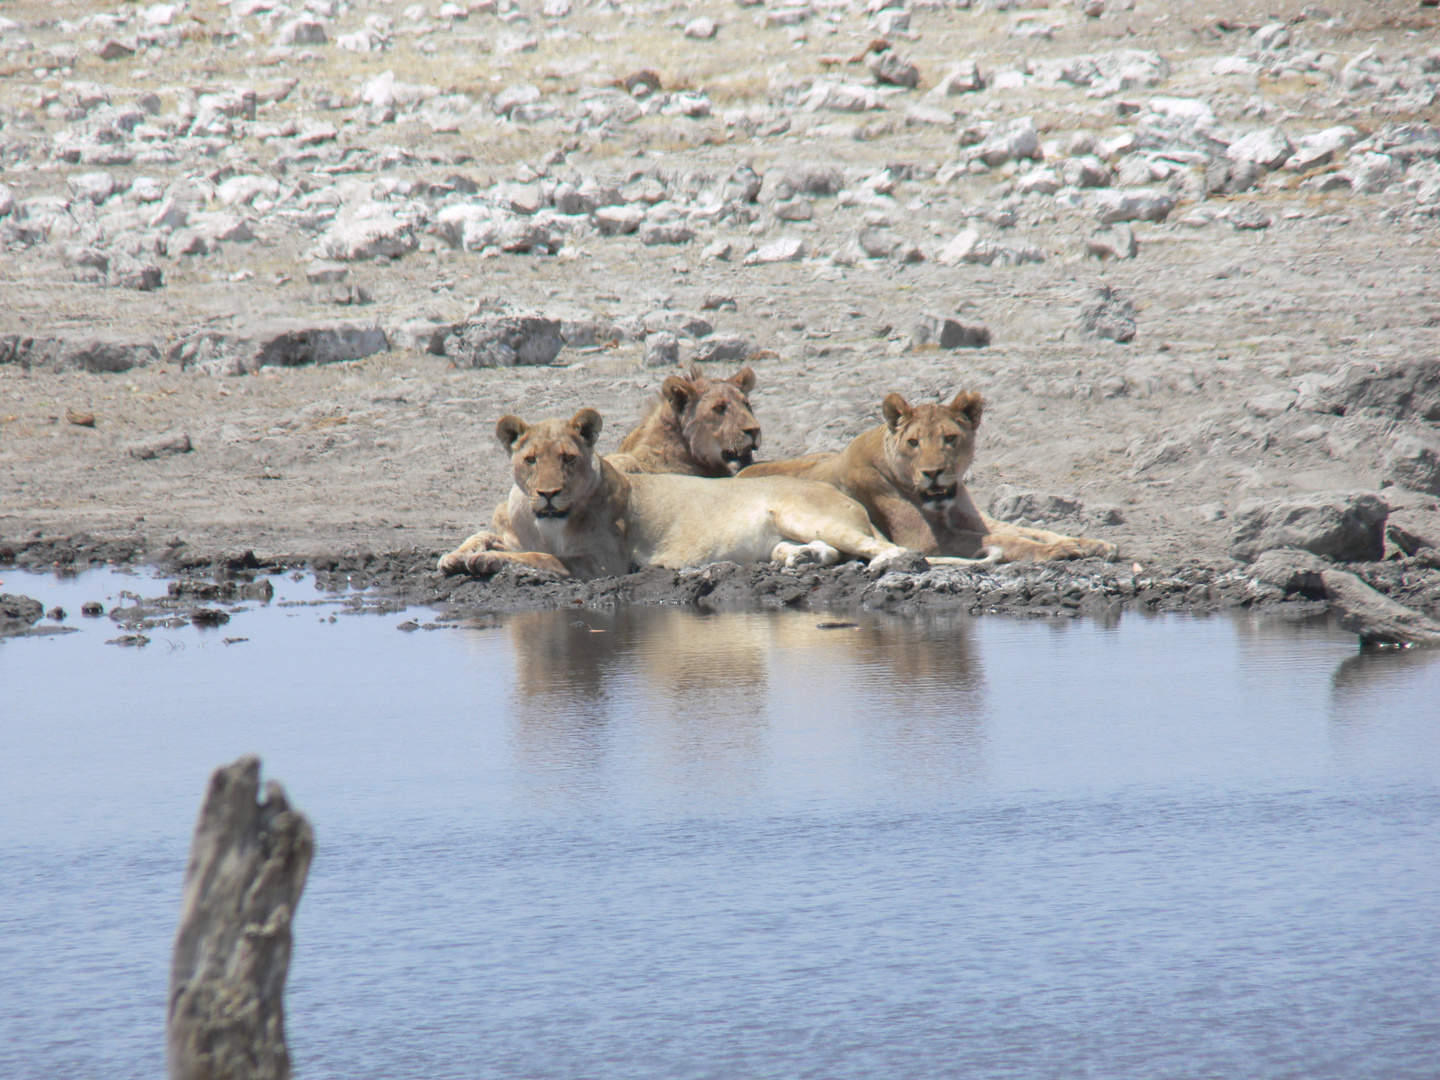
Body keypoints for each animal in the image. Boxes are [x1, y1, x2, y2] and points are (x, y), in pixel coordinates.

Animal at [437, 406, 984, 578]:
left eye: (569, 459)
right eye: (531, 460)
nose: (548, 493)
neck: (545, 521)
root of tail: (848, 499)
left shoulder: (603, 563)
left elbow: (539, 558)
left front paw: (484, 562)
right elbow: (482, 536)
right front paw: (455, 555)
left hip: (807, 513)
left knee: (885, 548)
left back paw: (886, 562)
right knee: (835, 551)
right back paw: (795, 559)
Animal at [737, 394, 1117, 570]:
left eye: (949, 438)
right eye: (914, 442)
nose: (932, 472)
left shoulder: (972, 519)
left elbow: (1028, 531)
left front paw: (1094, 544)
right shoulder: (926, 541)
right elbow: (1008, 539)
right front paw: (1061, 552)